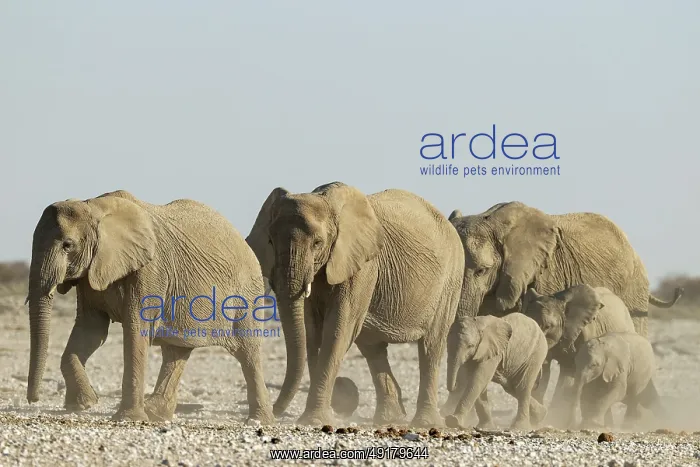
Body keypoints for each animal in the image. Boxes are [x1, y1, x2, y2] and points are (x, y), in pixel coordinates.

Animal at [25, 190, 275, 423]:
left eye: (68, 245)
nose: (32, 400)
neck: (95, 207)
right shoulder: (93, 271)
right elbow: (91, 329)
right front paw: (86, 403)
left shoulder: (150, 270)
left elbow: (135, 330)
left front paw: (127, 419)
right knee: (177, 350)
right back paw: (156, 414)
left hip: (247, 293)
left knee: (248, 353)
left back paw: (258, 420)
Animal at [245, 181, 465, 427]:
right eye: (270, 241)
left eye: (318, 243)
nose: (273, 414)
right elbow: (313, 333)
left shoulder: (362, 265)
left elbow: (337, 330)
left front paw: (314, 421)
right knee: (373, 348)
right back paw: (389, 420)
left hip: (450, 280)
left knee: (431, 346)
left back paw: (425, 423)